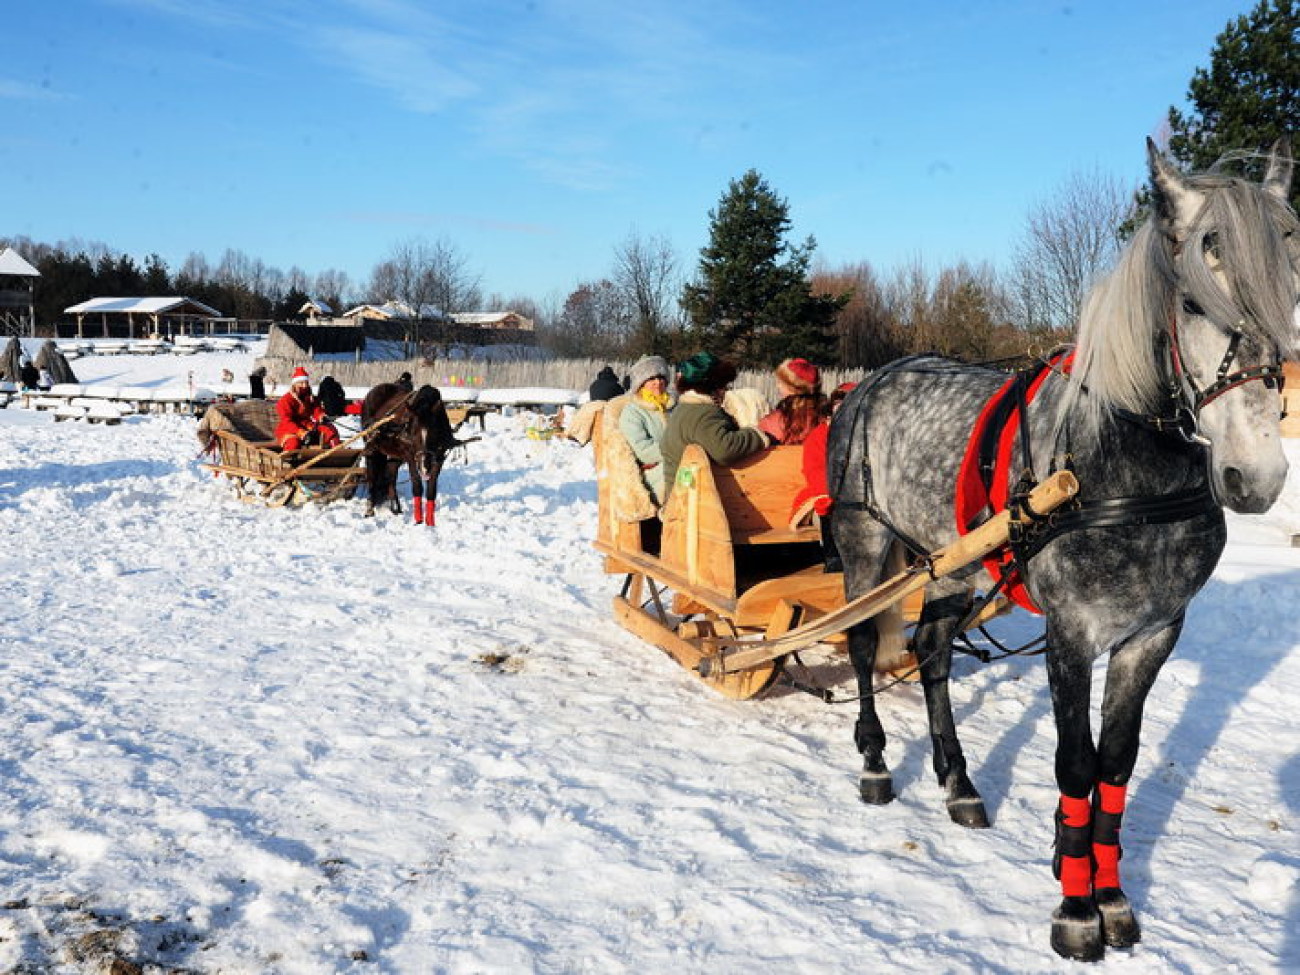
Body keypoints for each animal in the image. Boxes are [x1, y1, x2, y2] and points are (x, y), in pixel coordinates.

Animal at [361, 384, 473, 530]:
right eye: (413, 433)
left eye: (434, 433)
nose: (424, 467)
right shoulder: (410, 457)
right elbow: (417, 486)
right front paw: (418, 520)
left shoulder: (439, 458)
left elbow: (431, 489)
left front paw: (430, 522)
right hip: (373, 448)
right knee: (372, 476)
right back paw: (370, 510)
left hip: (395, 454)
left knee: (391, 476)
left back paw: (396, 509)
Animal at [826, 141, 1294, 967]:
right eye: (1194, 302)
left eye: (1287, 285)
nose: (1256, 475)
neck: (1122, 466)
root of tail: (867, 382)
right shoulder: (1072, 632)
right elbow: (1075, 760)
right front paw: (1076, 909)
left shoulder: (1152, 633)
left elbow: (1116, 761)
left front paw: (1110, 895)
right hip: (866, 542)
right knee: (860, 645)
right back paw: (877, 761)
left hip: (954, 561)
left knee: (932, 650)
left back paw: (958, 781)